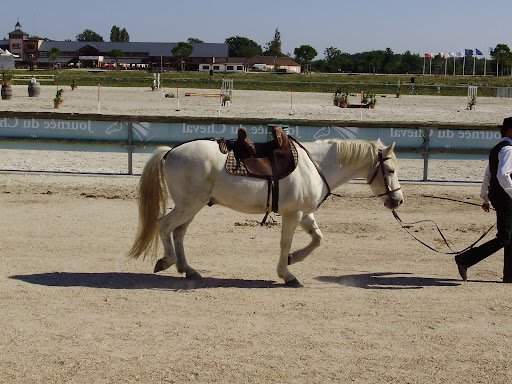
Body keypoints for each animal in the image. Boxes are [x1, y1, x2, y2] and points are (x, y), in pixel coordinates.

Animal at [128, 137, 404, 284]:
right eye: (390, 170)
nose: (398, 200)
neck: (315, 165)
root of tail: (171, 152)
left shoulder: (304, 213)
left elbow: (318, 238)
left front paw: (294, 258)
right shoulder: (293, 214)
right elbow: (285, 242)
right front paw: (287, 274)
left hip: (192, 207)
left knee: (178, 233)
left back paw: (188, 270)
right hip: (188, 205)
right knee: (164, 225)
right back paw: (167, 260)